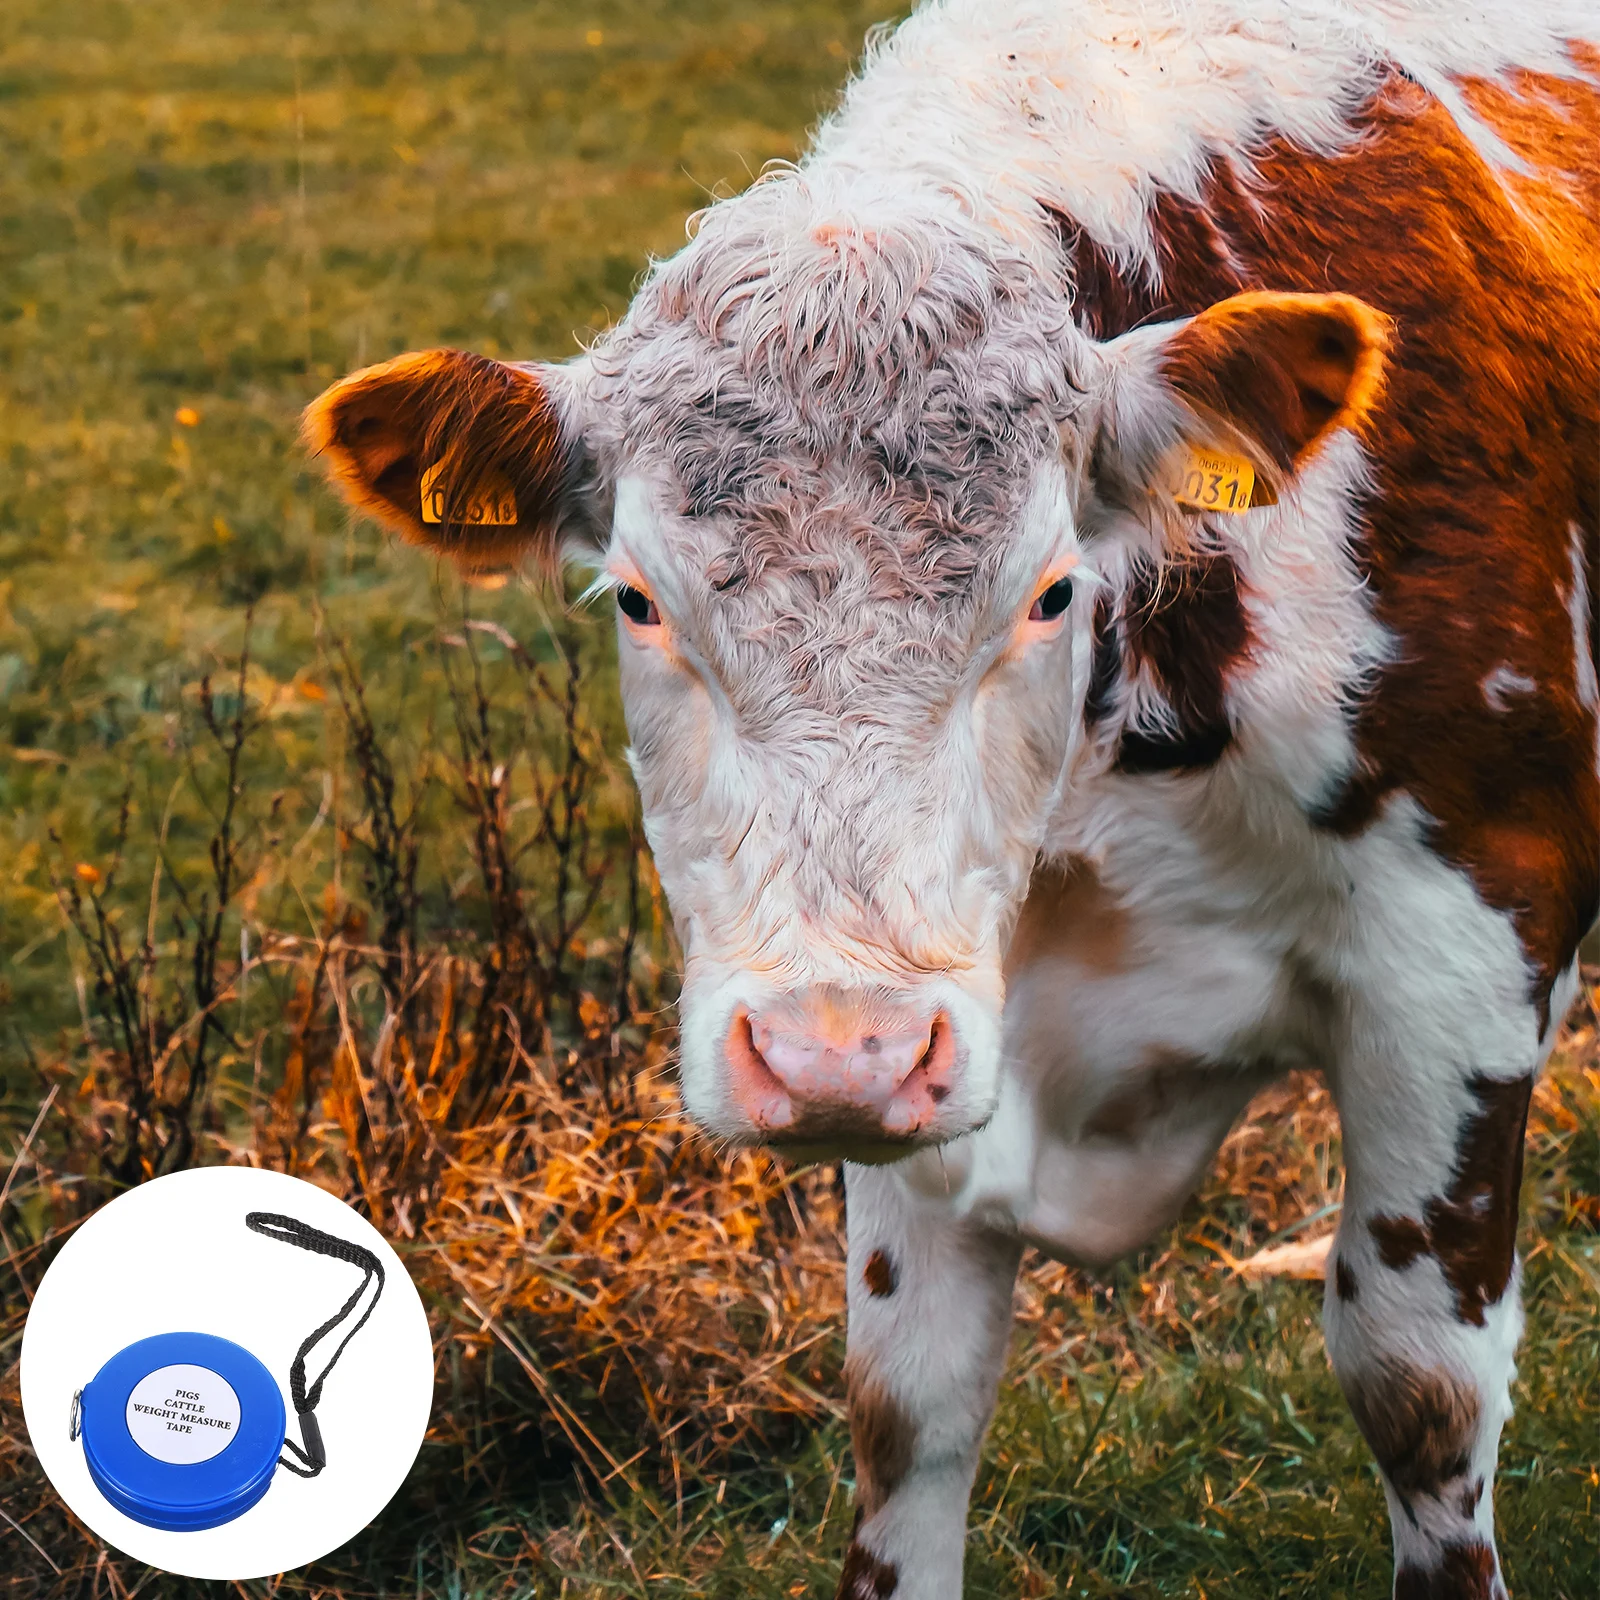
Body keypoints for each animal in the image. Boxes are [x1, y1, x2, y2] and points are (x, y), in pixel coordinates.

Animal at [302, 2, 1599, 1594]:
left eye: (1050, 592)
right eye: (639, 599)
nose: (828, 1059)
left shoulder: (1463, 952)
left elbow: (1418, 1388)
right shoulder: (926, 1052)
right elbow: (906, 1408)